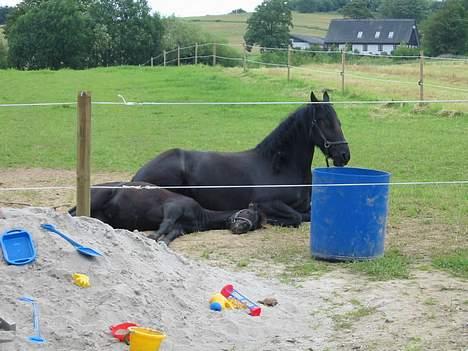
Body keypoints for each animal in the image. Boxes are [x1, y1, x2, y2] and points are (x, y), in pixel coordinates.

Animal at [68, 182, 266, 245]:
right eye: (248, 211)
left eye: (254, 226)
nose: (241, 227)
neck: (200, 214)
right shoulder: (173, 208)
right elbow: (165, 225)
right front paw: (150, 237)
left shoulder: (180, 228)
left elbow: (169, 236)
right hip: (98, 198)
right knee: (71, 213)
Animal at [133, 92, 350, 227]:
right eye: (323, 121)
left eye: (339, 121)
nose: (344, 155)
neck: (279, 167)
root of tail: (137, 176)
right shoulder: (268, 202)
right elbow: (296, 217)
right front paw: (269, 219)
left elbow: (308, 215)